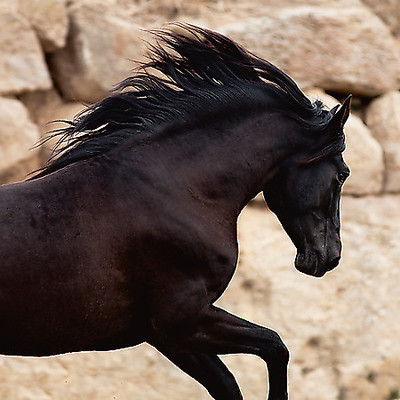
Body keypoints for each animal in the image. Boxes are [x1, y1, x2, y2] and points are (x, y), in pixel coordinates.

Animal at [0, 25, 350, 400]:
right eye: (342, 174)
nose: (329, 257)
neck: (176, 190)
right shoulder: (184, 319)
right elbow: (275, 346)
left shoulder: (170, 336)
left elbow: (230, 384)